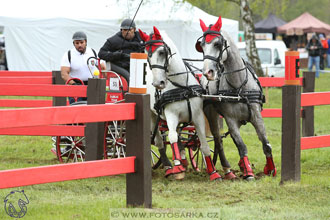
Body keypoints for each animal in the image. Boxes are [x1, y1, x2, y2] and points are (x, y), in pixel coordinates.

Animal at [139, 26, 222, 180]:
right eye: (147, 54)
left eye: (162, 52)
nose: (158, 83)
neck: (182, 87)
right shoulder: (171, 115)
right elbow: (171, 138)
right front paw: (177, 169)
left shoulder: (197, 116)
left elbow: (203, 142)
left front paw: (213, 172)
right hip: (153, 116)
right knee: (160, 141)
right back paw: (168, 166)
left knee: (178, 136)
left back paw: (182, 160)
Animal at [197, 16, 278, 180]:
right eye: (202, 45)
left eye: (217, 43)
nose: (208, 72)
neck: (239, 86)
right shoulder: (231, 119)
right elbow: (241, 145)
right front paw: (248, 172)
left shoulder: (256, 116)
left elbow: (266, 144)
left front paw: (270, 169)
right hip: (212, 114)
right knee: (218, 140)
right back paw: (227, 170)